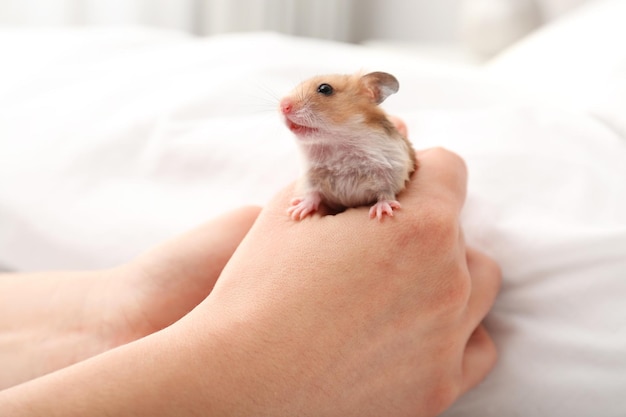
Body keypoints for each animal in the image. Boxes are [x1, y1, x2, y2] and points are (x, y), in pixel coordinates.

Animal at [278, 71, 414, 221]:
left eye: (325, 89)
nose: (283, 106)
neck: (337, 144)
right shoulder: (310, 177)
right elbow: (312, 193)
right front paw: (297, 211)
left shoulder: (393, 169)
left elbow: (386, 193)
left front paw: (382, 212)